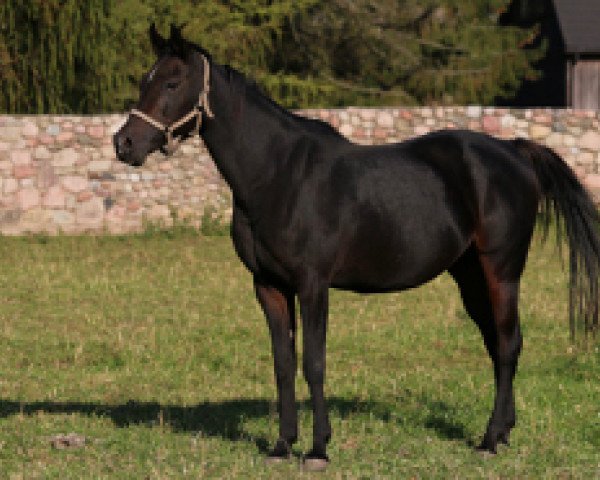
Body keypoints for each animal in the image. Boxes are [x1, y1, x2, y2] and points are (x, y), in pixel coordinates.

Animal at [113, 25, 600, 468]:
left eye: (172, 83)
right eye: (144, 80)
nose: (124, 143)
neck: (278, 175)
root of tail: (514, 150)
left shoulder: (313, 285)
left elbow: (314, 363)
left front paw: (318, 450)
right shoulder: (269, 286)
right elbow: (284, 364)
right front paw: (282, 445)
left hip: (502, 271)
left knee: (509, 343)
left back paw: (488, 440)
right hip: (469, 276)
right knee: (499, 344)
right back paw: (502, 434)